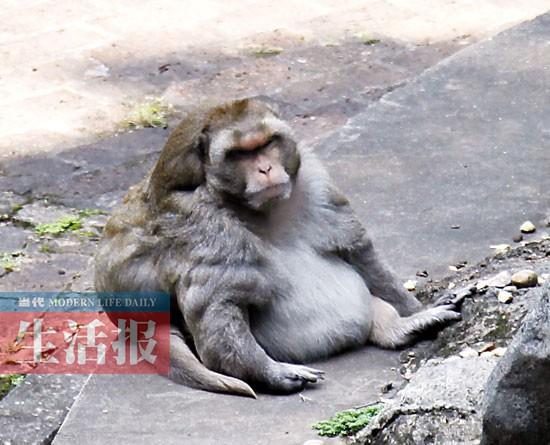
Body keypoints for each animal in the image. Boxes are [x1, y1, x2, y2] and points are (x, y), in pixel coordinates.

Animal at [94, 97, 462, 396]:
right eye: (240, 154)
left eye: (267, 144)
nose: (265, 168)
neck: (262, 209)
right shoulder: (207, 227)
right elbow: (219, 309)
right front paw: (269, 372)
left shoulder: (314, 181)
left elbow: (357, 249)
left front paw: (414, 309)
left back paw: (400, 327)